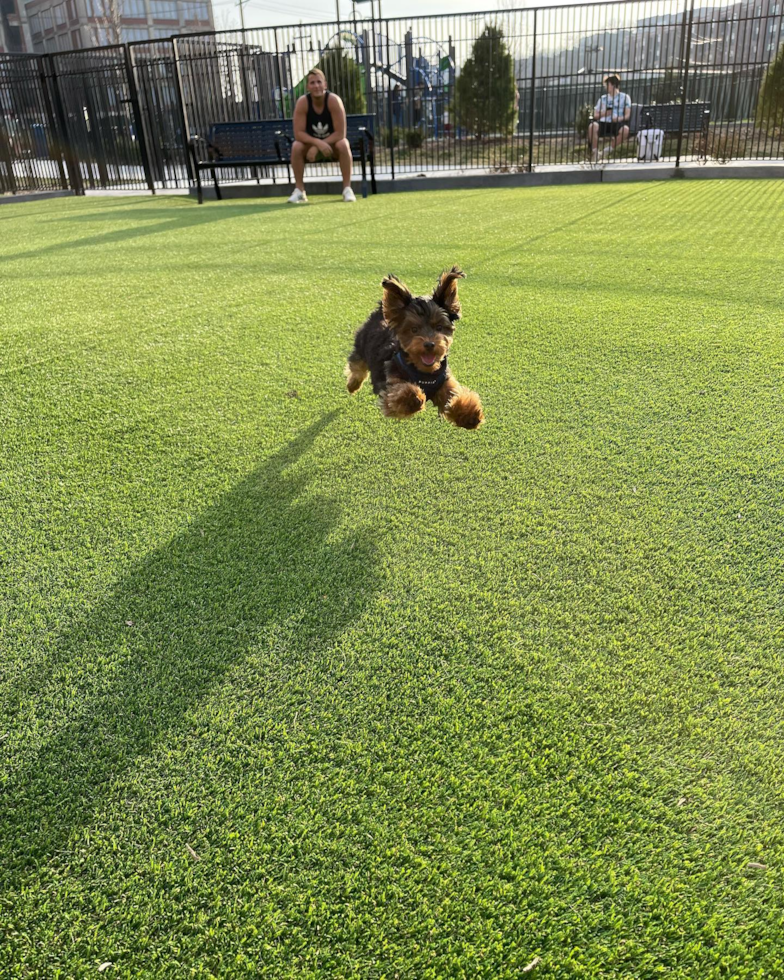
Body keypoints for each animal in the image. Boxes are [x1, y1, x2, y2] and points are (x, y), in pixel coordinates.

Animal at [344, 264, 484, 428]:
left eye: (439, 327)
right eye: (414, 329)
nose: (429, 344)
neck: (424, 372)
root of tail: (379, 312)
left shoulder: (445, 382)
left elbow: (454, 395)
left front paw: (469, 414)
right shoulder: (389, 385)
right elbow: (400, 393)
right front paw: (415, 398)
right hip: (361, 344)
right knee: (357, 366)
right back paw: (353, 385)